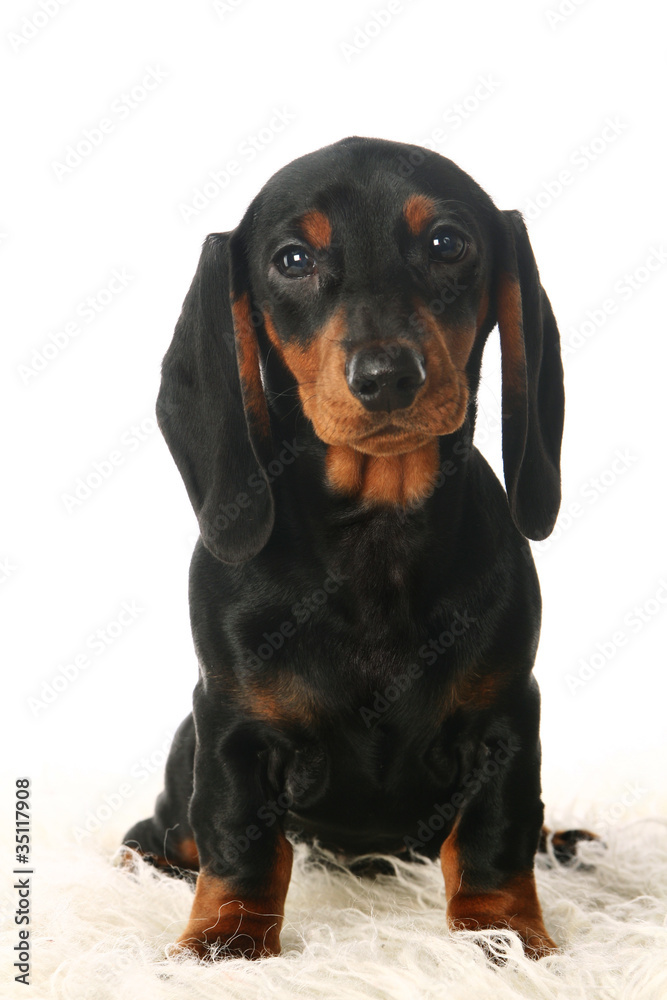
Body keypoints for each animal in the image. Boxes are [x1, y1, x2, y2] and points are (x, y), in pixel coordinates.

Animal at [124, 137, 584, 956]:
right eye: (292, 259)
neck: (377, 528)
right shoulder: (235, 729)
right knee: (171, 832)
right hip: (185, 753)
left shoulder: (504, 720)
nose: (388, 375)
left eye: (448, 243)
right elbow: (240, 842)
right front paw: (224, 942)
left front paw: (501, 936)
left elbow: (493, 837)